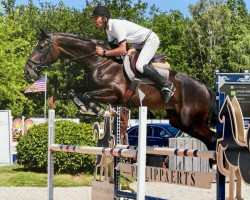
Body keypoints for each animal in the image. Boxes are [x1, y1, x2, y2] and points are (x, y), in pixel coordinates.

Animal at [23, 28, 217, 150]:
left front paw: (101, 111)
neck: (99, 62)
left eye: (41, 47)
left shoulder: (114, 94)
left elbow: (87, 95)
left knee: (213, 138)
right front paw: (87, 108)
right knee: (209, 140)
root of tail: (204, 87)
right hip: (179, 122)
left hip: (191, 120)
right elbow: (74, 92)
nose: (27, 71)